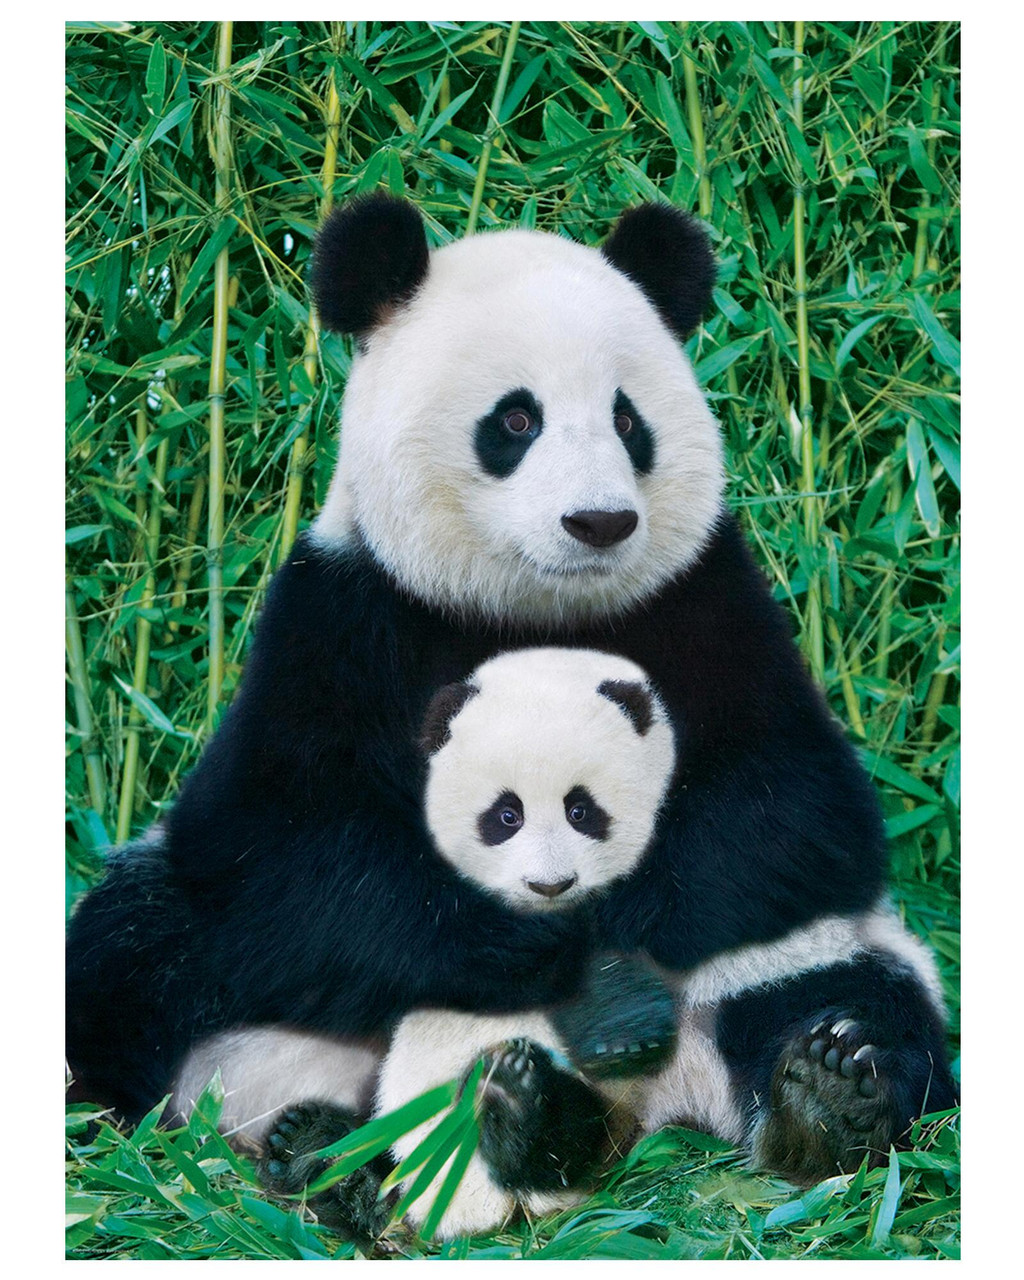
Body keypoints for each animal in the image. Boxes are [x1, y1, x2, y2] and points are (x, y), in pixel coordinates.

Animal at [66, 194, 955, 1224]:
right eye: (517, 419)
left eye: (626, 419)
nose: (600, 522)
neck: (534, 609)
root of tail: (654, 1108)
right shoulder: (342, 617)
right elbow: (283, 846)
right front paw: (549, 947)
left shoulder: (708, 602)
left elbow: (793, 813)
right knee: (133, 951)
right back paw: (330, 1152)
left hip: (806, 955)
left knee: (857, 995)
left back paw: (820, 1097)